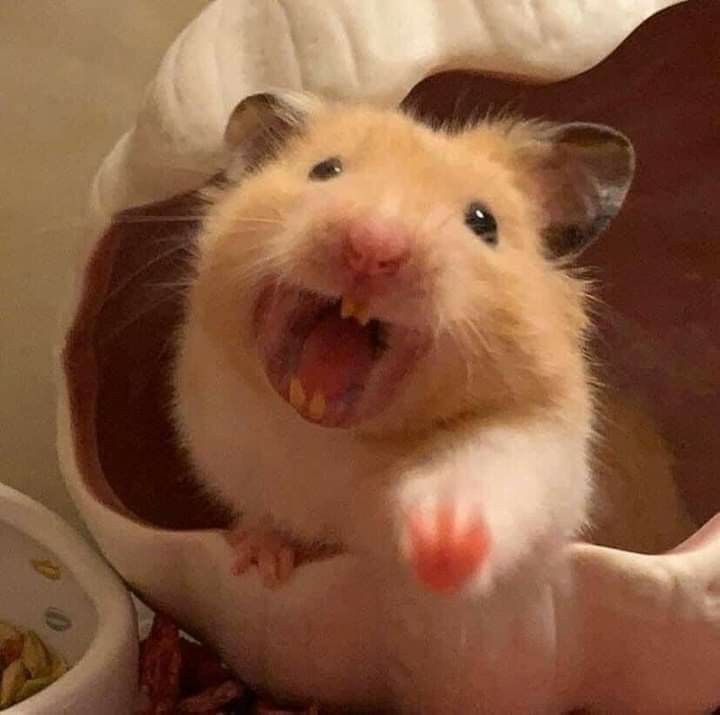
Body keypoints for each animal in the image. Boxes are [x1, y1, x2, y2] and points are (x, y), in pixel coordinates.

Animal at [173, 90, 635, 596]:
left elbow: (481, 477)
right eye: (324, 170)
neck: (328, 435)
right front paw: (258, 568)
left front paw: (444, 548)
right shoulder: (225, 443)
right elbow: (264, 514)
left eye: (484, 223)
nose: (373, 248)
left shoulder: (539, 439)